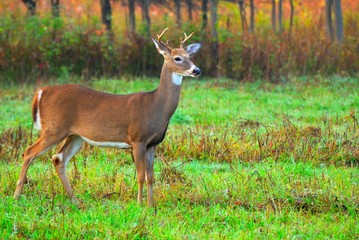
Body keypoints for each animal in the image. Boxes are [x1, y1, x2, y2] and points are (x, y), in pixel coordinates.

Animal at [13, 28, 200, 207]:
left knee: (58, 159)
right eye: (177, 58)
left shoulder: (152, 144)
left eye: (189, 56)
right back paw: (16, 196)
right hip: (54, 128)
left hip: (75, 135)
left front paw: (151, 206)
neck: (155, 105)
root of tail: (41, 91)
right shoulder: (138, 139)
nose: (196, 70)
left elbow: (151, 177)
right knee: (29, 152)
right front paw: (140, 206)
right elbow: (140, 175)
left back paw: (76, 201)